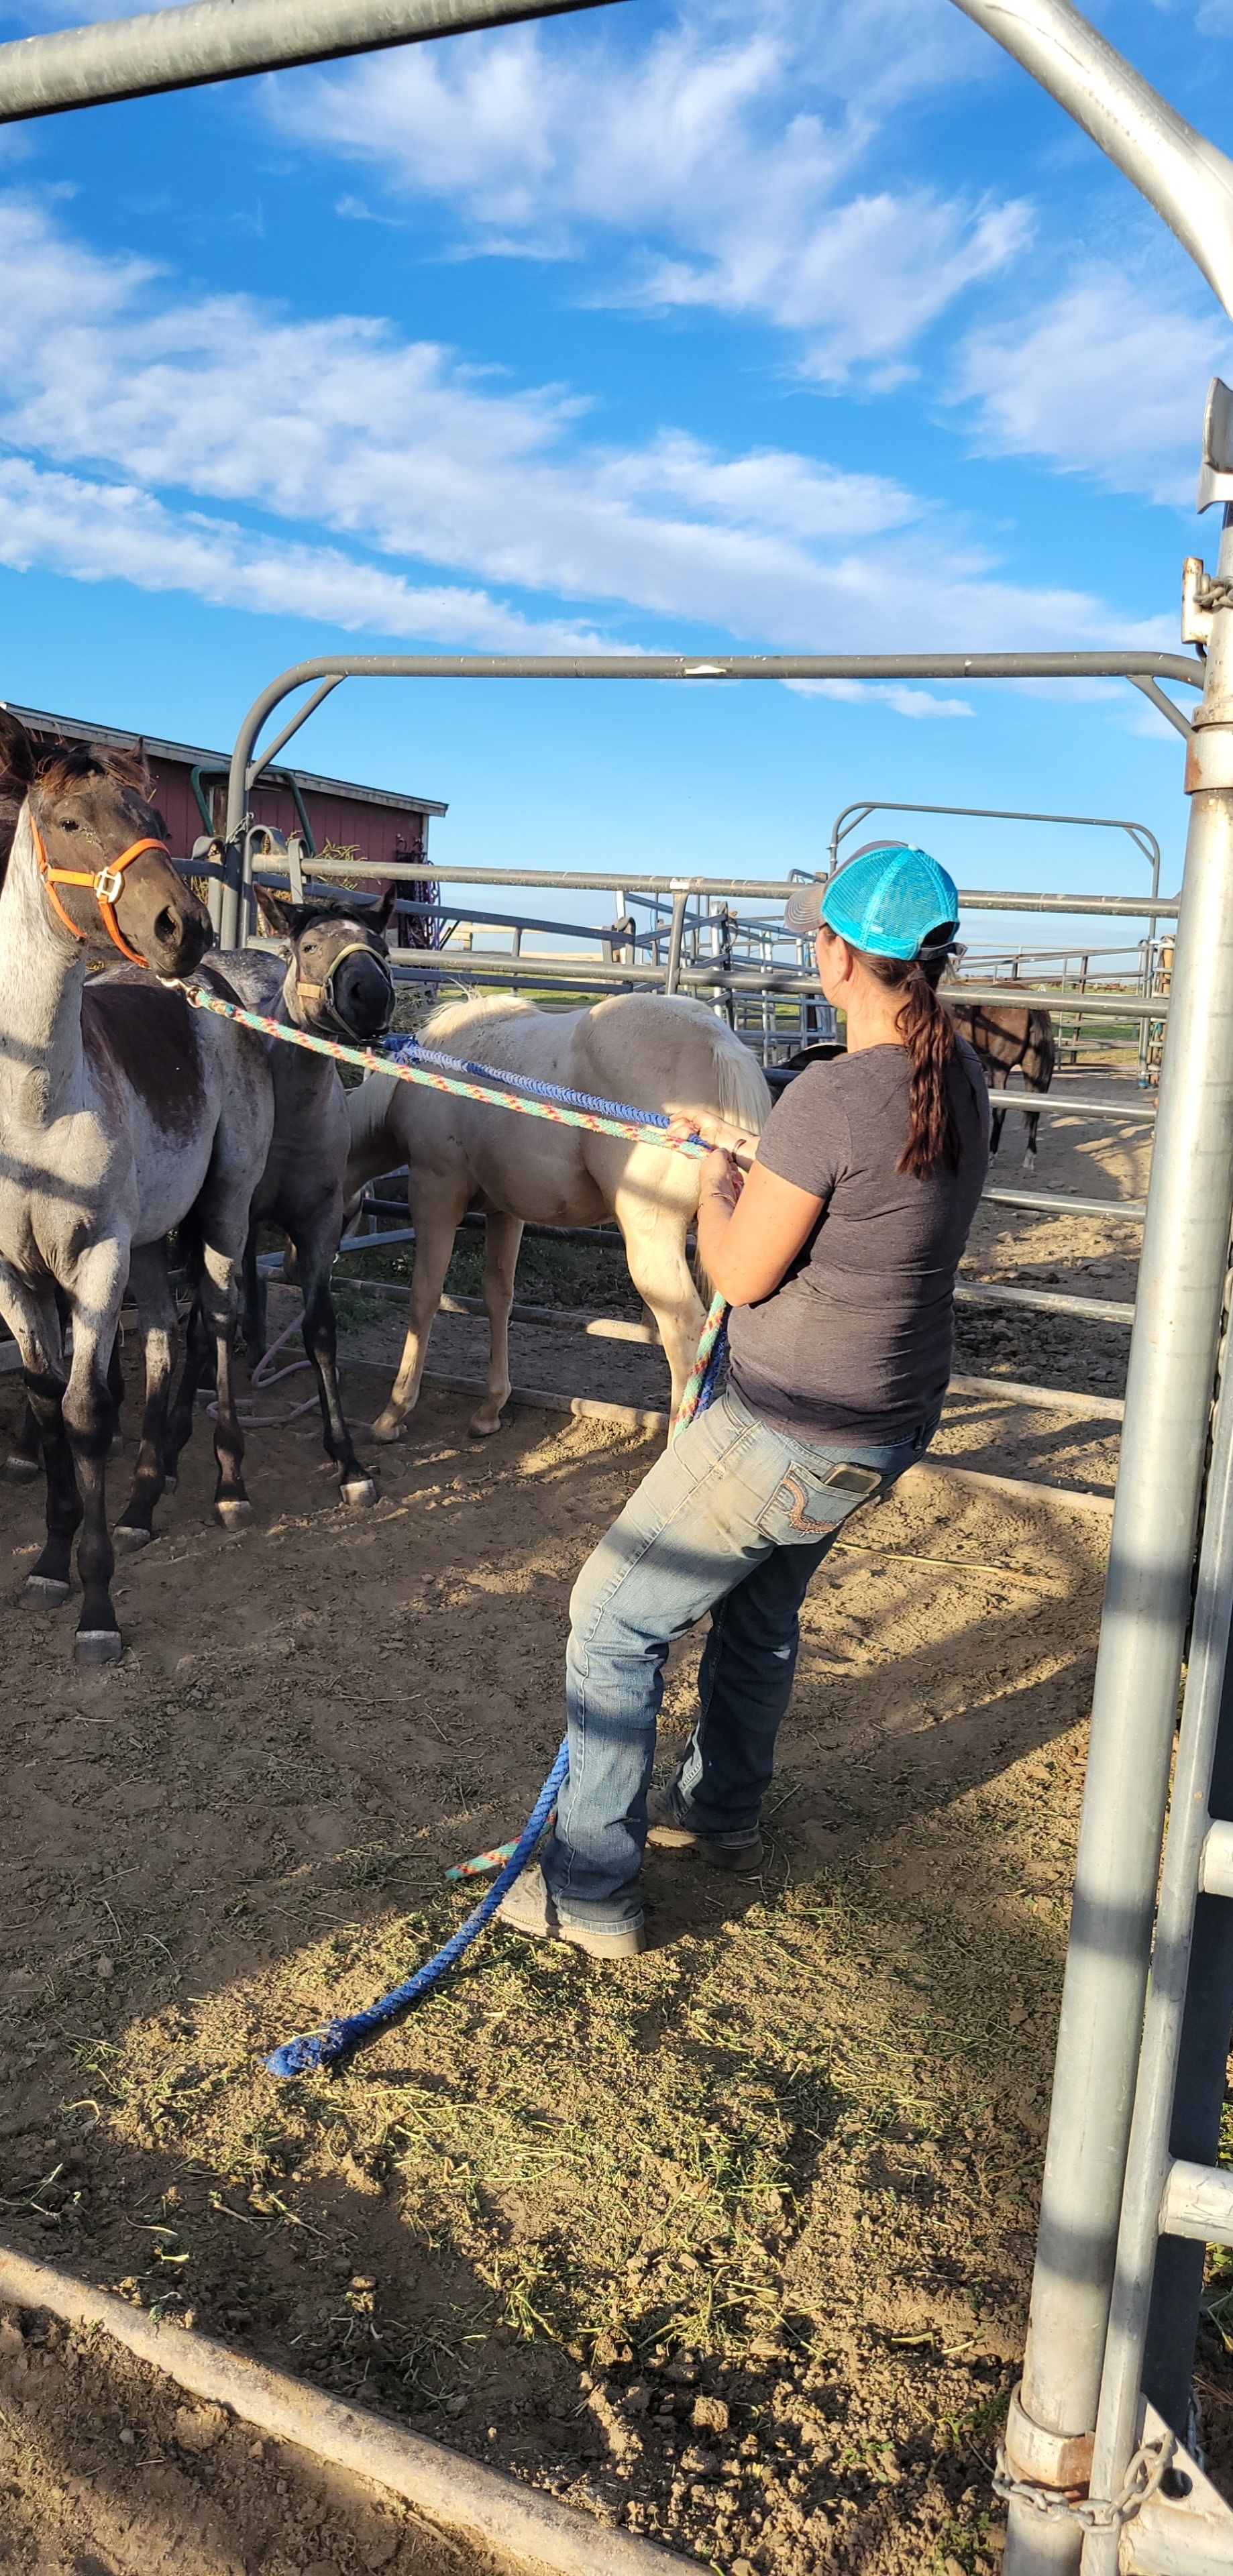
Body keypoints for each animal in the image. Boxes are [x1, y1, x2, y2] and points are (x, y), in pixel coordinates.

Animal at [0, 712, 273, 1663]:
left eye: (152, 814)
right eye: (69, 822)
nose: (179, 926)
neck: (35, 1109)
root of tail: (219, 989)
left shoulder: (97, 1256)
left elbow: (87, 1413)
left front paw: (97, 1609)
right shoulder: (16, 1277)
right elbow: (45, 1405)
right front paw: (50, 1560)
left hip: (223, 1207)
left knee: (216, 1324)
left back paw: (229, 1486)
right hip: (157, 1239)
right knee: (158, 1339)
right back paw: (145, 1503)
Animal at [212, 885, 398, 1507]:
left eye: (382, 948)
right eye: (312, 946)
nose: (372, 995)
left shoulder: (318, 1228)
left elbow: (320, 1331)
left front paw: (349, 1463)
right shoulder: (225, 1221)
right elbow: (213, 1315)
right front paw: (231, 1478)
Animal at [344, 990, 771, 1440]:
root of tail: (718, 1044)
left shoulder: (434, 1193)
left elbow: (424, 1297)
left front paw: (393, 1413)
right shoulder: (505, 1212)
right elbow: (499, 1297)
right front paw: (489, 1410)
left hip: (652, 1238)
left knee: (684, 1337)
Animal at [946, 1001, 1055, 1169]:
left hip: (999, 1069)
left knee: (1000, 1110)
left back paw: (991, 1155)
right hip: (1031, 1069)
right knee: (1035, 1108)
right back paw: (1029, 1156)